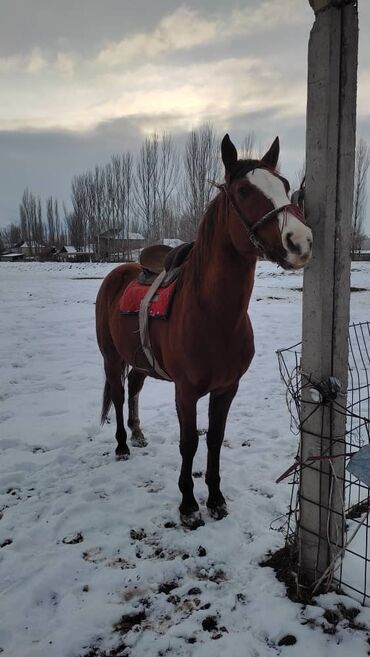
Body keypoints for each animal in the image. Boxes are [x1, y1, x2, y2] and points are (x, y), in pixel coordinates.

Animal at [96, 133, 312, 528]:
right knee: (118, 395)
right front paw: (188, 505)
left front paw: (215, 499)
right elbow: (189, 443)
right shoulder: (185, 391)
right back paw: (121, 444)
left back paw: (138, 432)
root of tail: (118, 272)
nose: (300, 242)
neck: (213, 316)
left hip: (140, 360)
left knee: (134, 386)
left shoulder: (227, 388)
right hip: (111, 356)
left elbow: (214, 439)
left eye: (286, 185)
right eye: (244, 190)